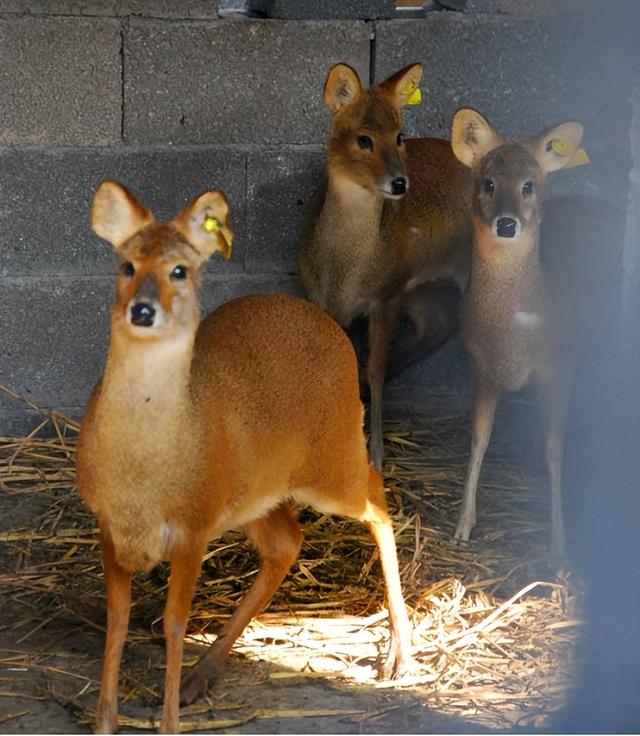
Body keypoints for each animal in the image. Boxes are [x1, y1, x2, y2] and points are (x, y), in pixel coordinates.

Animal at [76, 181, 416, 732]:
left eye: (180, 270)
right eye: (127, 265)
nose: (142, 310)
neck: (143, 476)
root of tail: (325, 321)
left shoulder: (193, 526)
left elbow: (174, 623)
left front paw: (168, 722)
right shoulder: (109, 523)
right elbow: (118, 617)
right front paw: (105, 719)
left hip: (334, 455)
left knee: (377, 495)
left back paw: (400, 654)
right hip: (256, 494)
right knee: (288, 542)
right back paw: (204, 672)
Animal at [300, 60, 476, 468]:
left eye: (399, 135)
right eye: (363, 138)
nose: (399, 183)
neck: (345, 273)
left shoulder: (388, 294)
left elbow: (374, 368)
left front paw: (375, 457)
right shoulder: (321, 299)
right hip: (428, 290)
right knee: (439, 324)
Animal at [444, 108, 592, 556]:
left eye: (530, 185)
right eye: (488, 183)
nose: (506, 224)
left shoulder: (559, 363)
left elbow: (556, 449)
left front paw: (559, 545)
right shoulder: (479, 364)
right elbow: (479, 439)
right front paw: (463, 525)